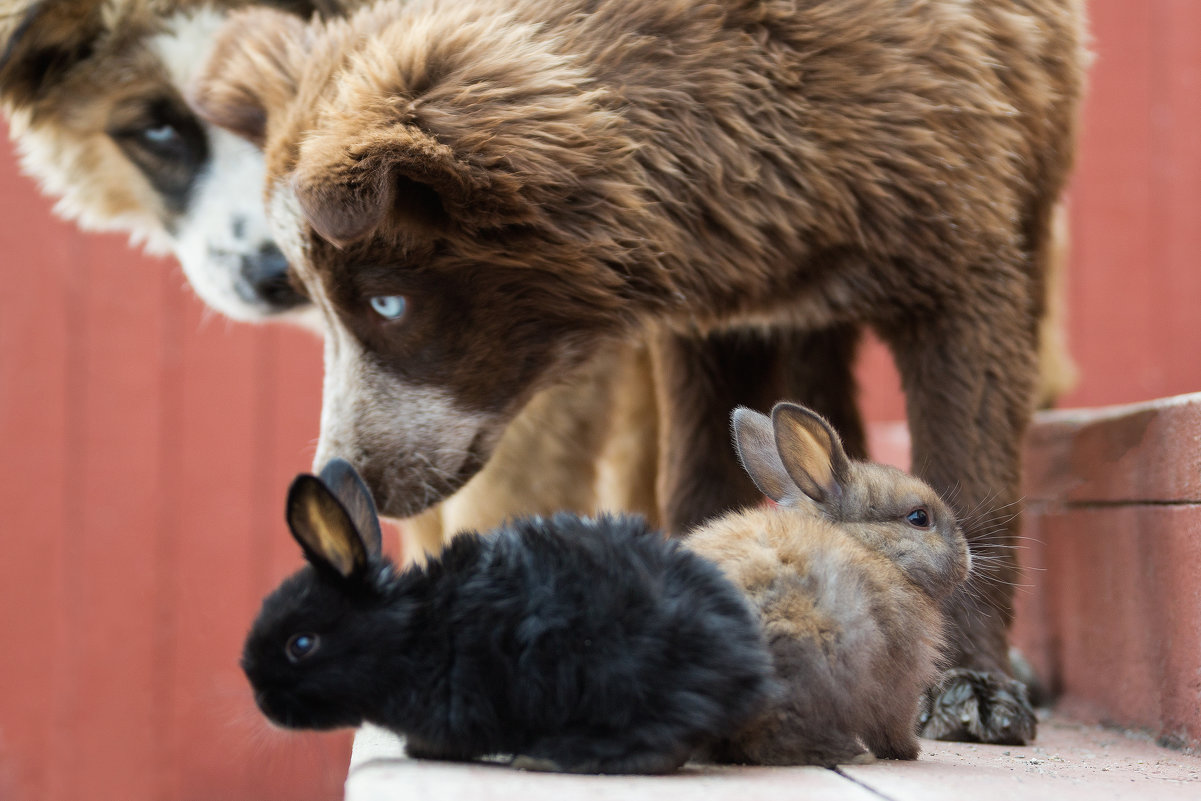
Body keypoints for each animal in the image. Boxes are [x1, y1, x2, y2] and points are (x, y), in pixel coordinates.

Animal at [238, 461, 773, 773]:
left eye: (300, 645)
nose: (261, 702)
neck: (411, 634)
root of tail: (749, 671)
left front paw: (420, 751)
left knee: (658, 751)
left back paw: (545, 759)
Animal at [691, 403, 970, 768]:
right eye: (919, 518)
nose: (968, 558)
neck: (870, 548)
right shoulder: (901, 679)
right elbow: (895, 722)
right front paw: (908, 752)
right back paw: (850, 754)